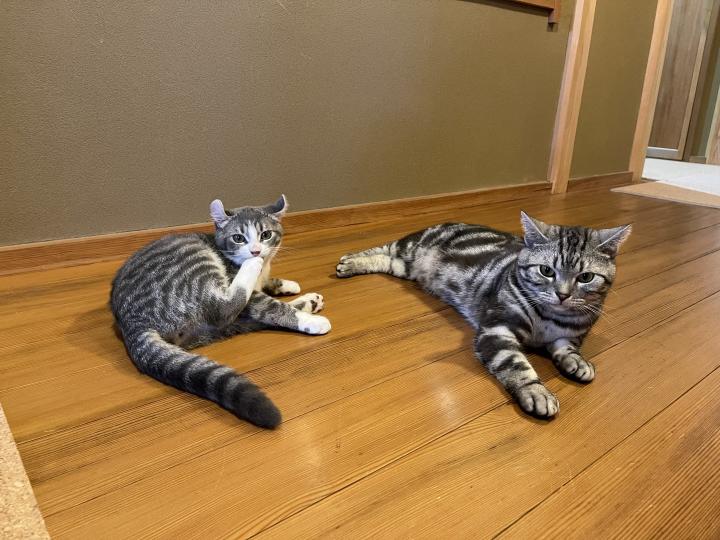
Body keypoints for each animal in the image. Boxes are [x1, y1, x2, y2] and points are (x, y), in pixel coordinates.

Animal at [111, 195, 331, 429]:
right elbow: (271, 306)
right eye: (238, 238)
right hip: (193, 263)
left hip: (210, 329)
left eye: (266, 235)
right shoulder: (251, 296)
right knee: (223, 308)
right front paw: (309, 320)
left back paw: (309, 301)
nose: (255, 251)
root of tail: (131, 321)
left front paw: (286, 285)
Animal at [336, 212, 631, 419]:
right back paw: (349, 262)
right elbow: (517, 364)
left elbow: (567, 349)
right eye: (546, 271)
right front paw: (537, 391)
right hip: (410, 247)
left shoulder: (569, 336)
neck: (548, 318)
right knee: (381, 249)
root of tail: (449, 219)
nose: (562, 294)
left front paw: (578, 363)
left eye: (586, 277)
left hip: (405, 267)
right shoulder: (497, 329)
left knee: (385, 259)